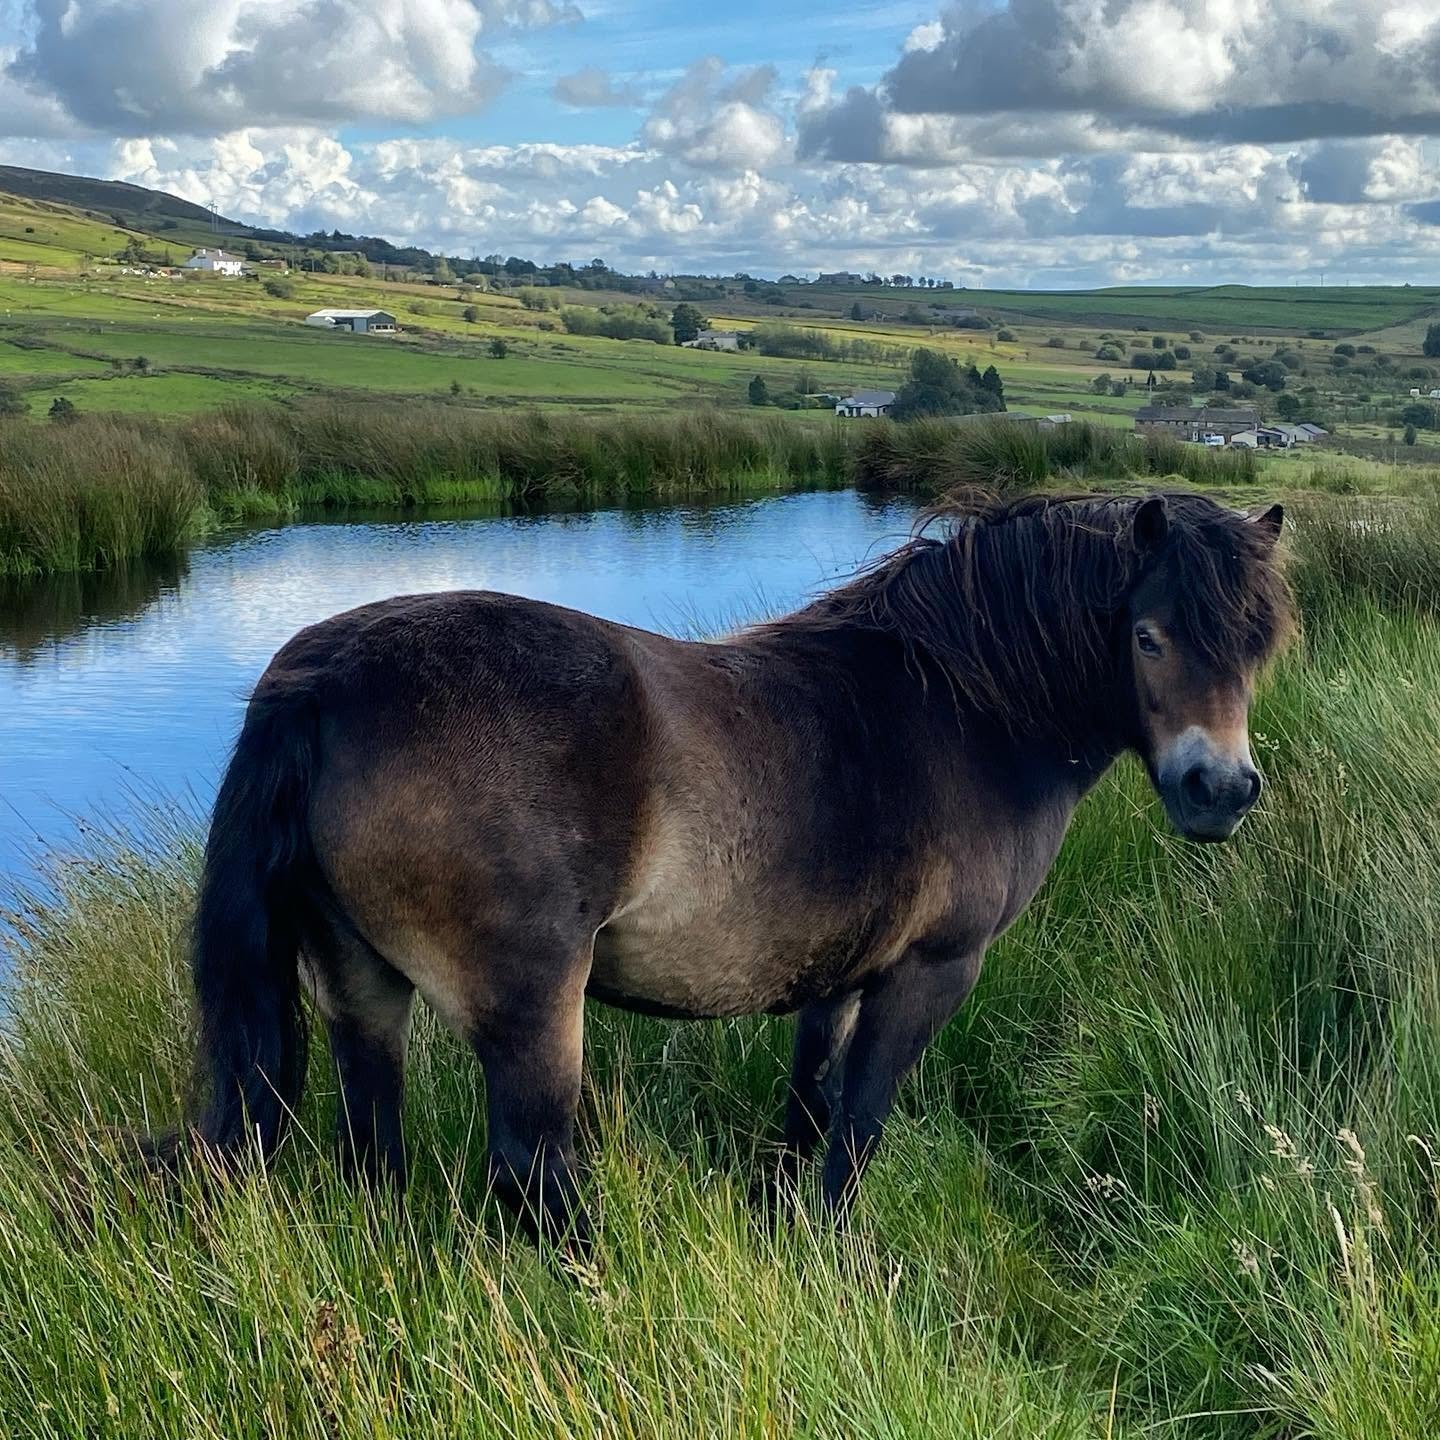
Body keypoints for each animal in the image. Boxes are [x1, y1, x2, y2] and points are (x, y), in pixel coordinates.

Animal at [156, 490, 1290, 1251]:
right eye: (1148, 635)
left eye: (1257, 643)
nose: (1220, 789)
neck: (967, 712)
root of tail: (321, 684)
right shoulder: (932, 971)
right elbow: (862, 1122)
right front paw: (837, 1254)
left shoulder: (837, 974)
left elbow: (809, 1105)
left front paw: (782, 1223)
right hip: (530, 1007)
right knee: (531, 1170)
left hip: (360, 985)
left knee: (373, 1140)